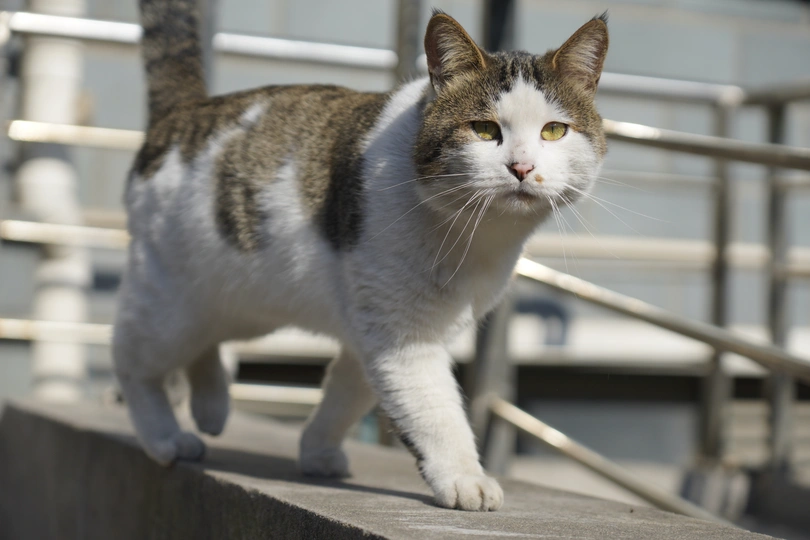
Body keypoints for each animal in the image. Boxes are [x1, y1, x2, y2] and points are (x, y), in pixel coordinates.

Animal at [114, 0, 608, 512]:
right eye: (484, 129)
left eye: (554, 130)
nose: (522, 167)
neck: (478, 237)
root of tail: (184, 110)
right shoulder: (401, 332)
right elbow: (433, 409)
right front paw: (465, 478)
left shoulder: (373, 325)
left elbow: (348, 393)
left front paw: (317, 451)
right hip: (172, 304)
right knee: (132, 358)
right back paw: (166, 437)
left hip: (240, 303)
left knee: (207, 339)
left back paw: (211, 405)